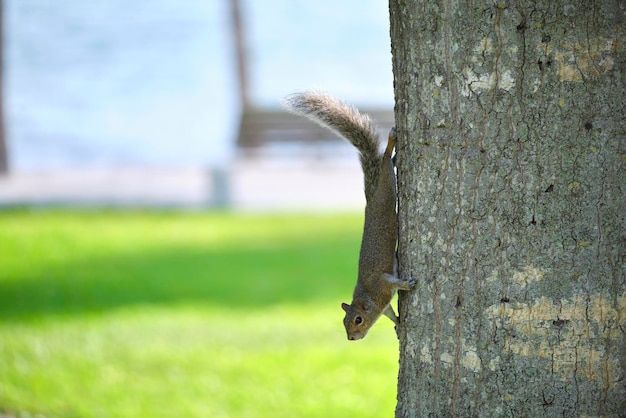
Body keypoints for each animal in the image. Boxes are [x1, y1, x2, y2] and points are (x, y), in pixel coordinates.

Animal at [282, 91, 414, 340]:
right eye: (344, 321)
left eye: (358, 319)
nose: (351, 338)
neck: (368, 297)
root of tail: (370, 198)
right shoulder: (383, 303)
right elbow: (390, 313)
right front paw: (399, 323)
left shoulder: (381, 283)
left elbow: (394, 282)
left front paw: (408, 285)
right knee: (387, 164)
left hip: (387, 192)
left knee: (384, 163)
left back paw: (391, 144)